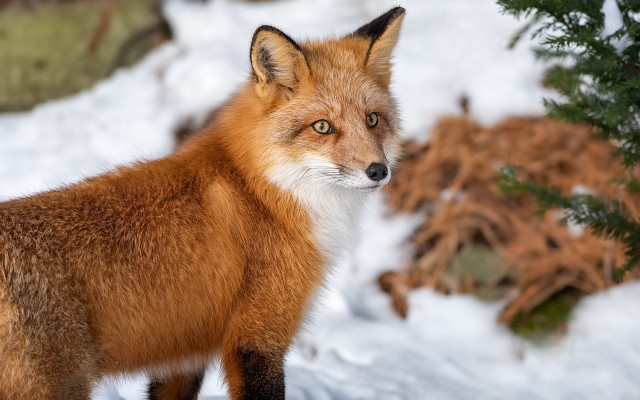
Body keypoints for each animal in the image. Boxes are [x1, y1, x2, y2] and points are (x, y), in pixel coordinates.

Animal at [0, 7, 405, 400]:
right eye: (322, 127)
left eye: (372, 120)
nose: (378, 170)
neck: (262, 191)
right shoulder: (257, 337)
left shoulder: (184, 356)